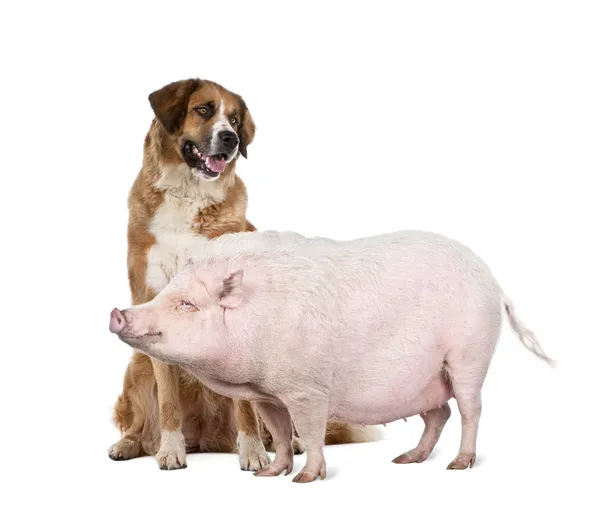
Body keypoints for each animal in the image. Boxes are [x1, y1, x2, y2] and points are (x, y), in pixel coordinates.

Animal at [108, 79, 370, 472]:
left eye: (234, 119)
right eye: (203, 110)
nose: (230, 138)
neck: (188, 194)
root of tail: (207, 438)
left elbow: (247, 407)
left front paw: (253, 452)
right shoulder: (151, 298)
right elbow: (167, 400)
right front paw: (170, 450)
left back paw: (287, 443)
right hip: (137, 370)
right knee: (139, 422)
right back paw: (130, 444)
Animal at [109, 230, 552, 484]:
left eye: (186, 304)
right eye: (167, 293)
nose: (118, 312)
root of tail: (495, 284)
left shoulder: (307, 388)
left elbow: (309, 432)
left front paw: (305, 480)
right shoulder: (267, 394)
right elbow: (281, 434)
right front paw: (268, 475)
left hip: (469, 355)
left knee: (471, 409)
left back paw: (458, 465)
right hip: (426, 379)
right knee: (438, 414)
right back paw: (405, 460)